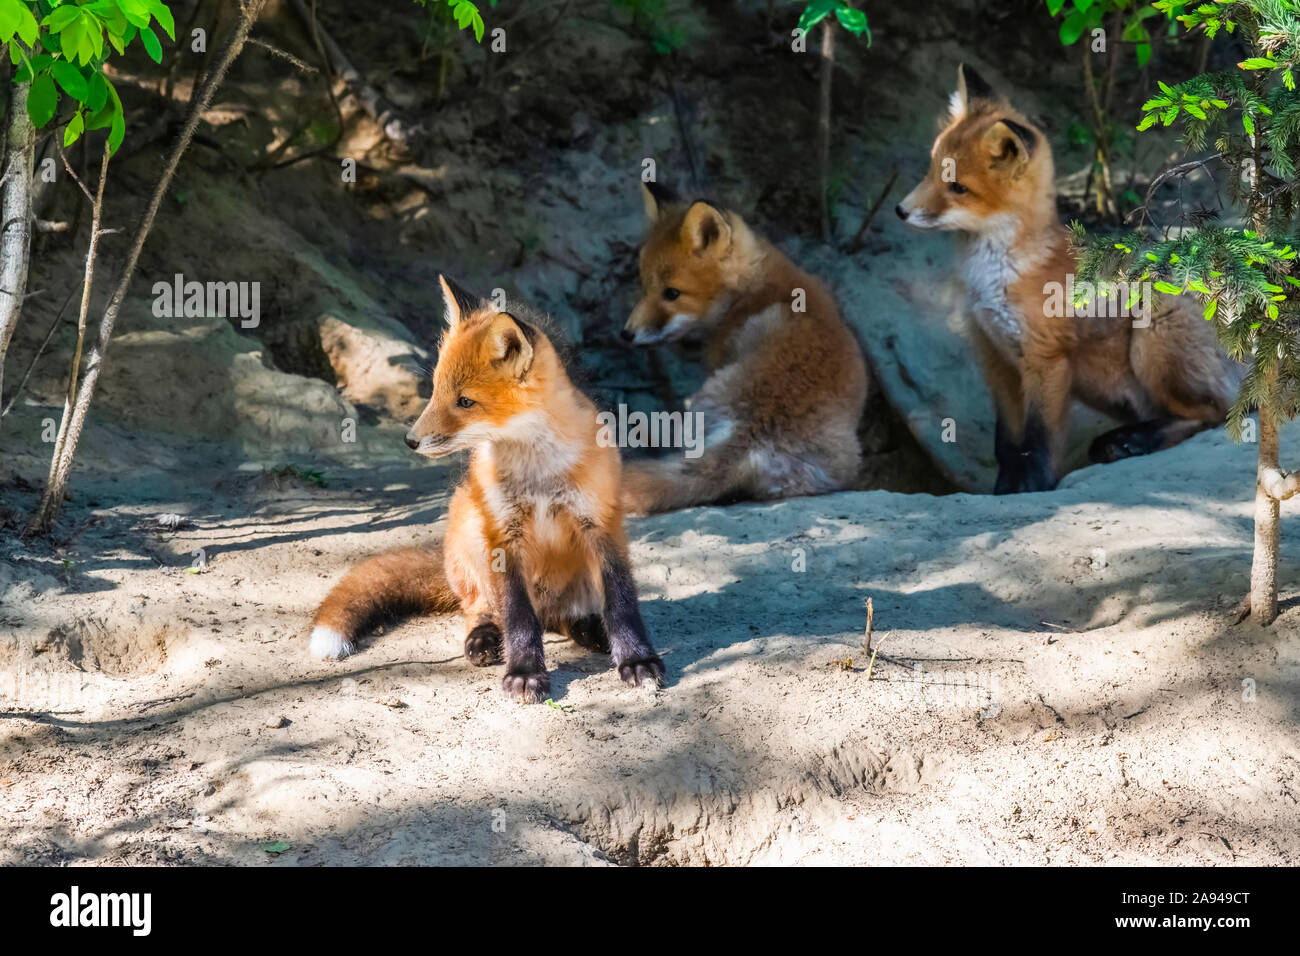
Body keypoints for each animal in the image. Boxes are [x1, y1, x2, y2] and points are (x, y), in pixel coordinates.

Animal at [309, 276, 665, 704]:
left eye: (465, 401)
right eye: (435, 390)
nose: (410, 441)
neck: (537, 474)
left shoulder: (601, 523)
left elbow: (622, 603)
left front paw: (636, 660)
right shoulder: (502, 533)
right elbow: (517, 615)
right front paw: (525, 672)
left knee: (562, 617)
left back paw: (589, 631)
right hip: (470, 529)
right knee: (483, 609)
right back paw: (483, 639)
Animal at [897, 64, 1239, 494]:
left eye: (957, 187)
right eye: (931, 171)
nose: (900, 210)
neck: (993, 277)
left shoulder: (1047, 358)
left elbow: (1038, 441)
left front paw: (1033, 488)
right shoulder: (995, 355)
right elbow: (1007, 444)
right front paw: (1004, 490)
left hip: (1153, 338)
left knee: (1215, 413)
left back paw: (1131, 441)